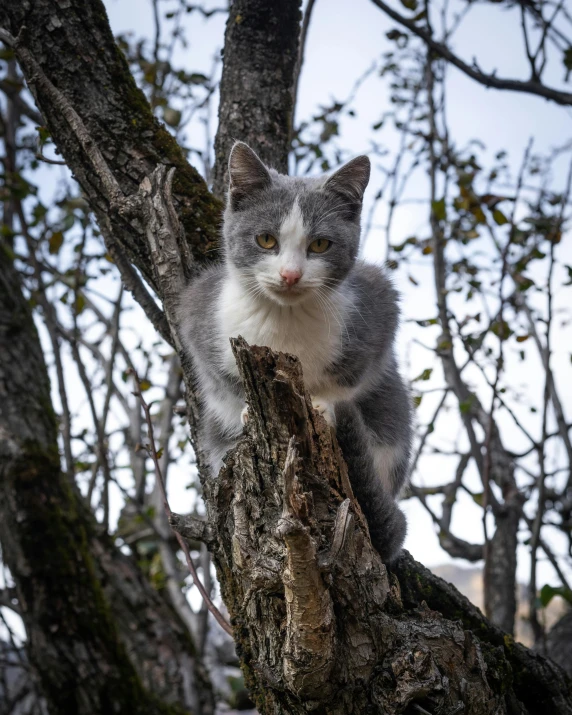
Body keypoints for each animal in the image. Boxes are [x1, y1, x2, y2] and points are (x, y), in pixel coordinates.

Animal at [179, 141, 412, 564]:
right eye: (266, 240)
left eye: (319, 244)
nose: (289, 275)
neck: (284, 318)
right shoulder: (197, 313)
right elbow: (218, 380)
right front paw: (245, 407)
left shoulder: (379, 303)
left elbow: (352, 378)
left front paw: (322, 404)